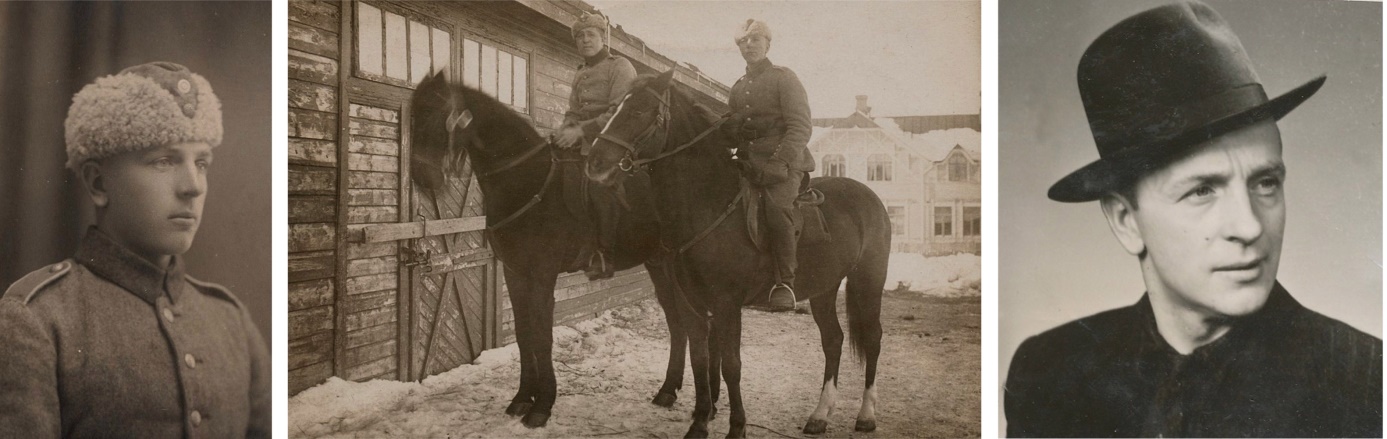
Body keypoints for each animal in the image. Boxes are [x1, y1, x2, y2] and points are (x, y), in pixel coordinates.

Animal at [407, 70, 699, 426]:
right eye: (414, 114)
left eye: (436, 114)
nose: (424, 178)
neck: (527, 182)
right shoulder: (515, 273)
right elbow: (524, 335)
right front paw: (522, 397)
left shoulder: (542, 275)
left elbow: (542, 337)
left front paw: (542, 405)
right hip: (658, 264)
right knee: (676, 322)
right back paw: (668, 390)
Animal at [582, 69, 887, 434]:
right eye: (615, 108)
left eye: (639, 110)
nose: (595, 161)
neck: (708, 203)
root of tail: (870, 197)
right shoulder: (692, 302)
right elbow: (700, 358)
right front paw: (699, 423)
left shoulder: (727, 304)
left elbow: (731, 364)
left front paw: (736, 426)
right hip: (824, 289)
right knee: (833, 340)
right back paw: (820, 415)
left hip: (869, 281)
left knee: (873, 338)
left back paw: (866, 415)